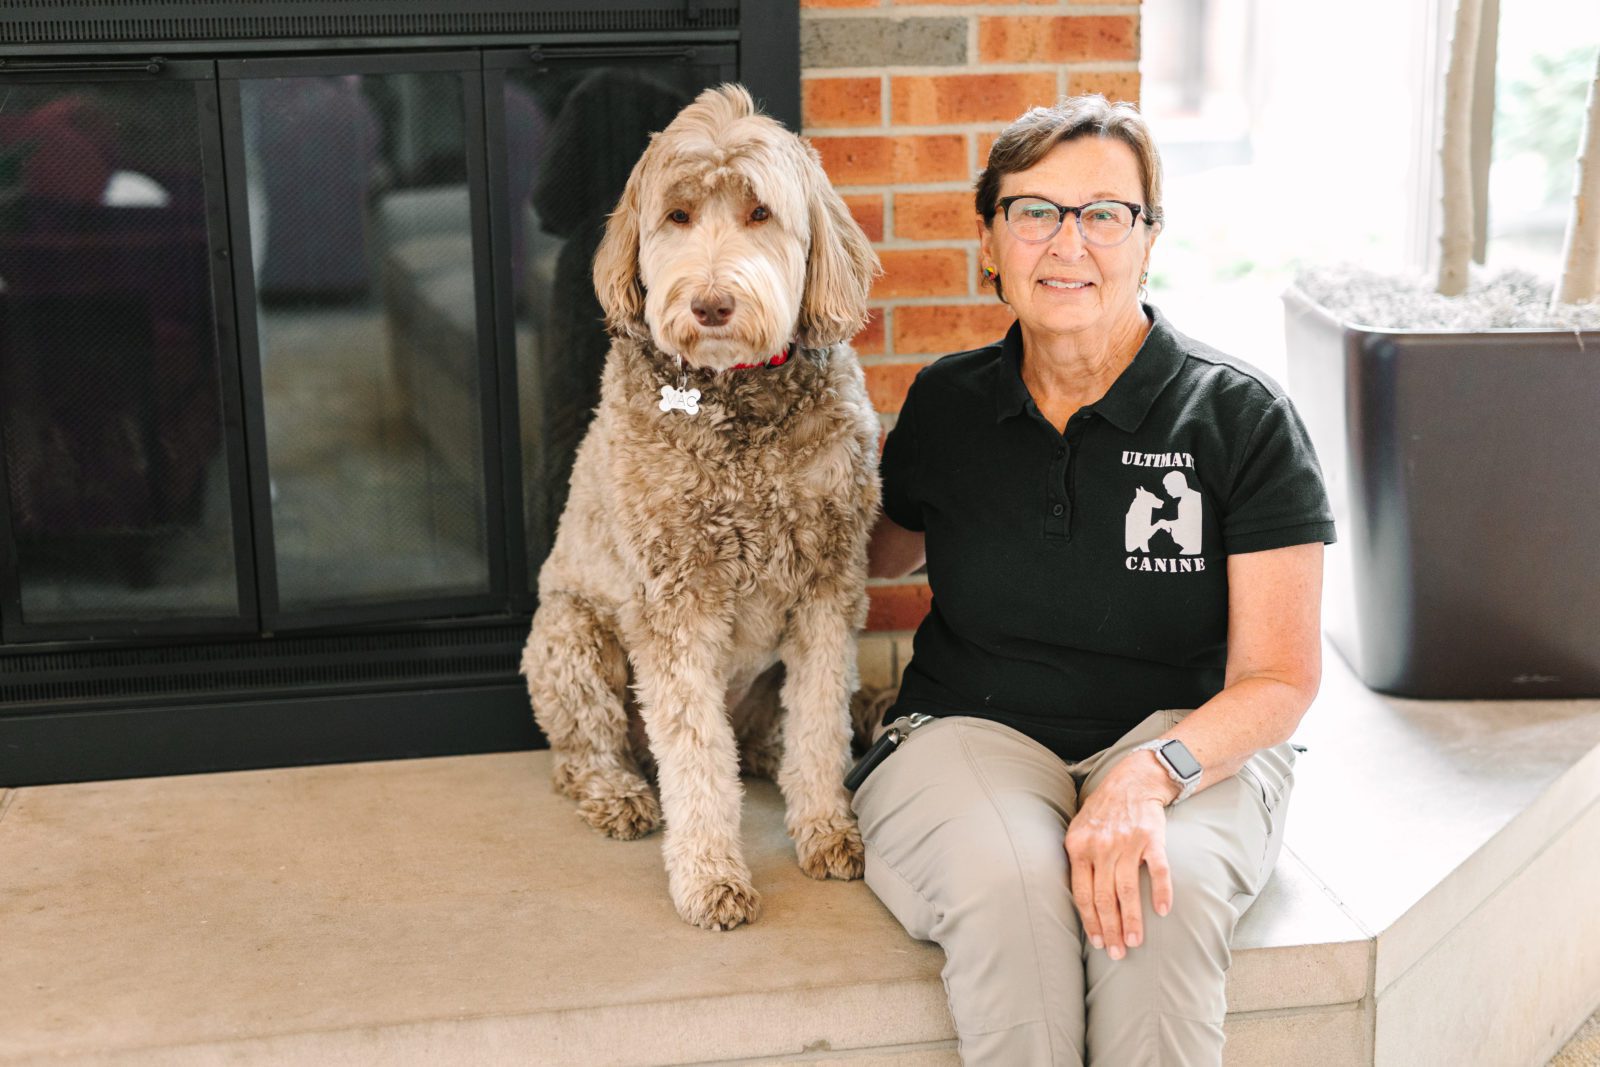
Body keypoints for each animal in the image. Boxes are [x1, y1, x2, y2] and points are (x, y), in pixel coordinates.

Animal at [518, 83, 883, 927]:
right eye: (677, 215)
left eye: (761, 212)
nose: (713, 304)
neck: (736, 398)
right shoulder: (674, 603)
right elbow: (694, 755)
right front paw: (710, 873)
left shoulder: (829, 587)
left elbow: (820, 720)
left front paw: (826, 826)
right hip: (571, 637)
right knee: (586, 752)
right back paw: (617, 792)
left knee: (776, 732)